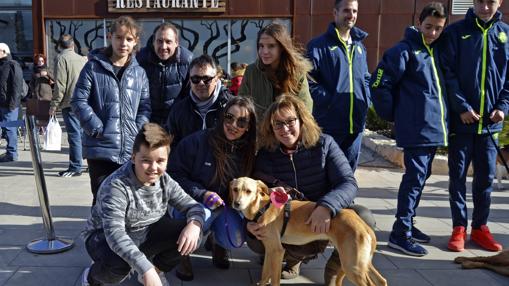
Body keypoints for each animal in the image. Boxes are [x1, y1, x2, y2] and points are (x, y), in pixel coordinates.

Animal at [228, 177, 386, 286]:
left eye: (248, 191)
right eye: (235, 189)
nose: (237, 204)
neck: (262, 207)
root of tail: (364, 225)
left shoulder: (277, 251)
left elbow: (274, 280)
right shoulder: (270, 250)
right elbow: (265, 274)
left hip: (352, 266)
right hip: (360, 262)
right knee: (382, 281)